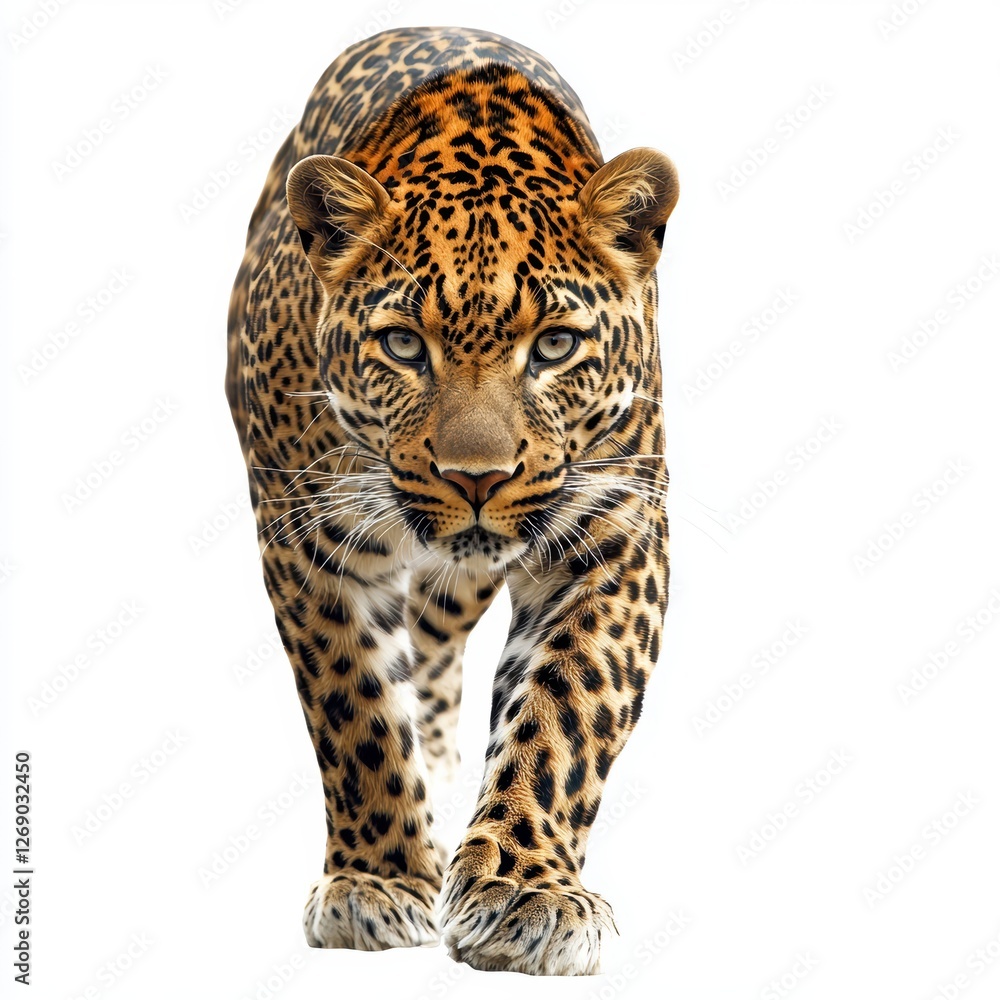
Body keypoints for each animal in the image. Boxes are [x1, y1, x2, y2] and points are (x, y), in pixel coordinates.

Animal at [226, 25, 678, 976]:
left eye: (554, 346)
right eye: (403, 345)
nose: (477, 477)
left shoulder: (616, 535)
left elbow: (565, 709)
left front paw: (524, 893)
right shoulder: (306, 538)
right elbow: (356, 706)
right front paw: (380, 881)